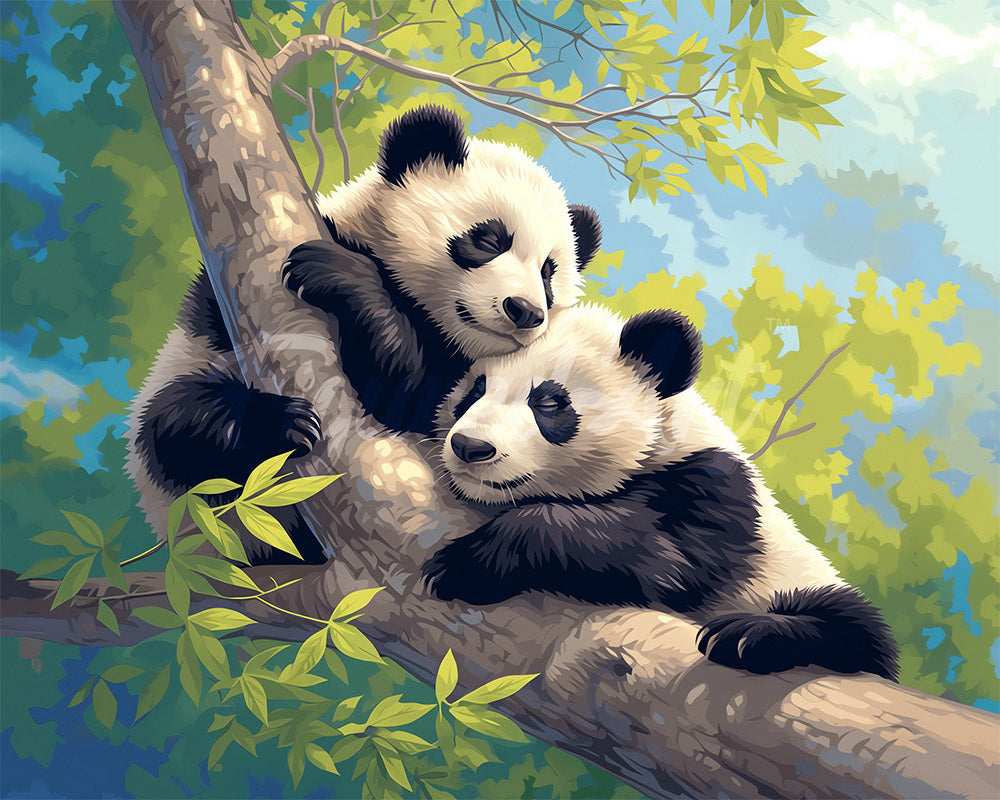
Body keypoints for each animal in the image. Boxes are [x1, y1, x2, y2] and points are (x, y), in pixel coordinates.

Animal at [125, 106, 601, 565]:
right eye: (487, 240)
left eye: (548, 273)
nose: (526, 311)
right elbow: (212, 321)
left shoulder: (451, 384)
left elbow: (402, 391)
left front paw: (336, 272)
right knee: (175, 423)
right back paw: (277, 423)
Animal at [422, 304, 899, 680]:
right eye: (475, 390)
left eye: (550, 403)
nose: (470, 447)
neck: (658, 447)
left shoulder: (717, 490)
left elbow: (665, 562)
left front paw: (466, 563)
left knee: (852, 625)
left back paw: (749, 636)